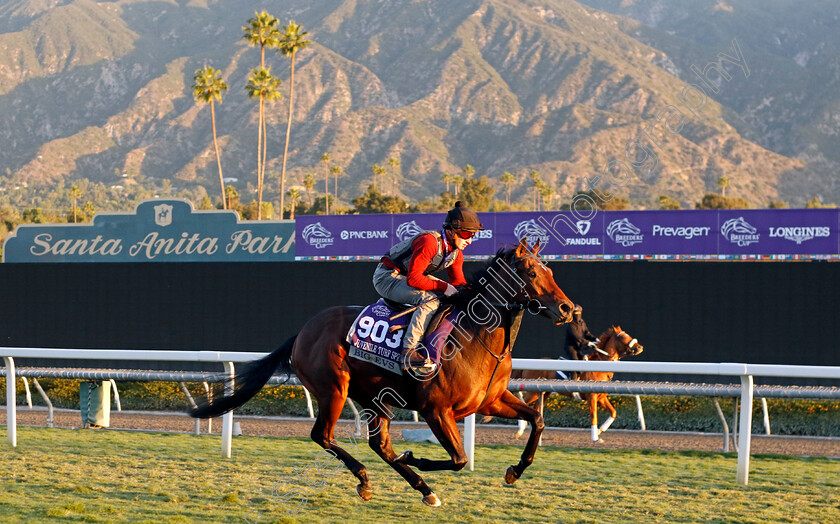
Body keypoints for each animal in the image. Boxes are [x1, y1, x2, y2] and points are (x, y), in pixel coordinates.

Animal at [191, 238, 576, 508]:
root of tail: (302, 332)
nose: (568, 308)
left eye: (551, 272)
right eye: (531, 272)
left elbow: (537, 420)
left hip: (375, 397)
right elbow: (459, 458)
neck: (475, 337)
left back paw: (422, 490)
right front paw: (418, 457)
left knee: (379, 443)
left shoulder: (490, 401)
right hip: (334, 388)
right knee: (322, 435)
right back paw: (367, 479)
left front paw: (515, 470)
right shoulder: (436, 410)